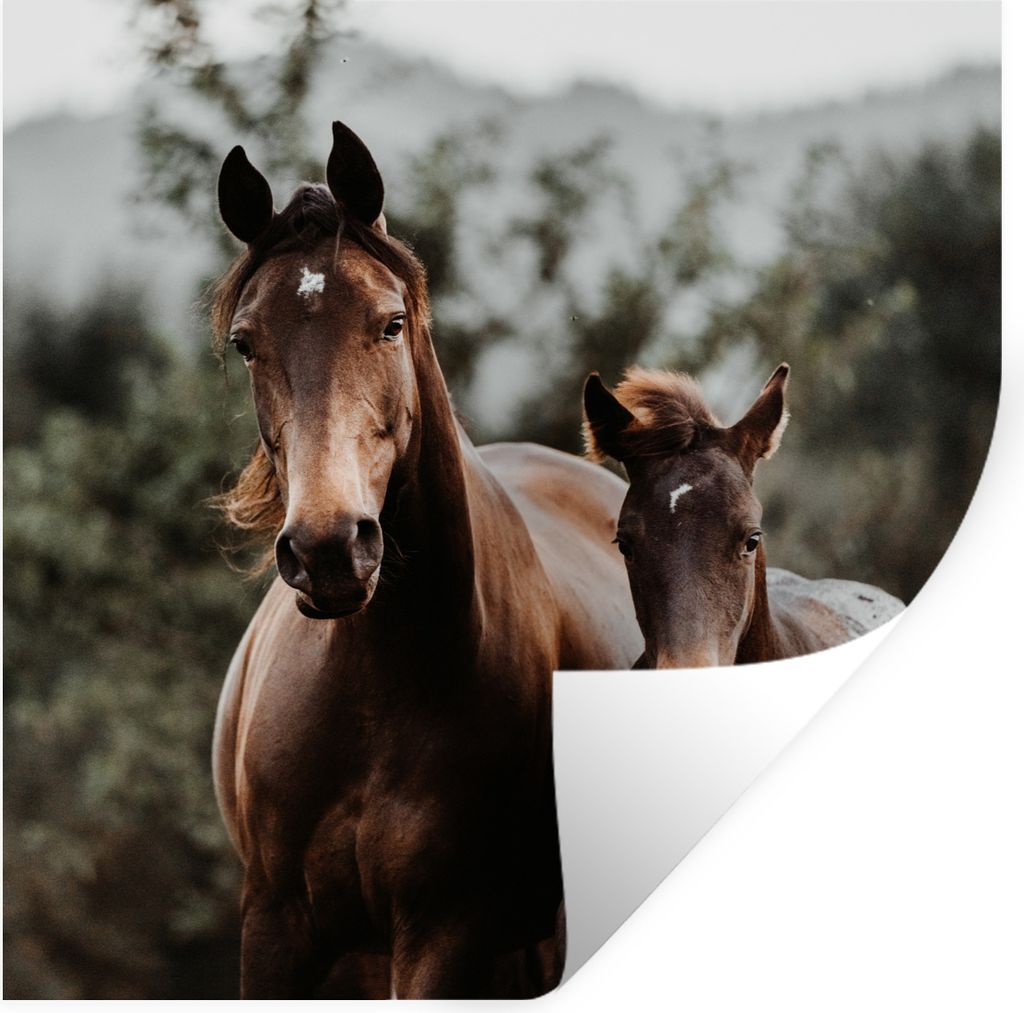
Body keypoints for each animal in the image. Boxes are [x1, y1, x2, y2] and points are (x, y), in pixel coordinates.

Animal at [209, 121, 642, 998]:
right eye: (246, 342)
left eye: (390, 323)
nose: (329, 549)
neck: (374, 685)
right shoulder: (274, 926)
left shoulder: (445, 935)